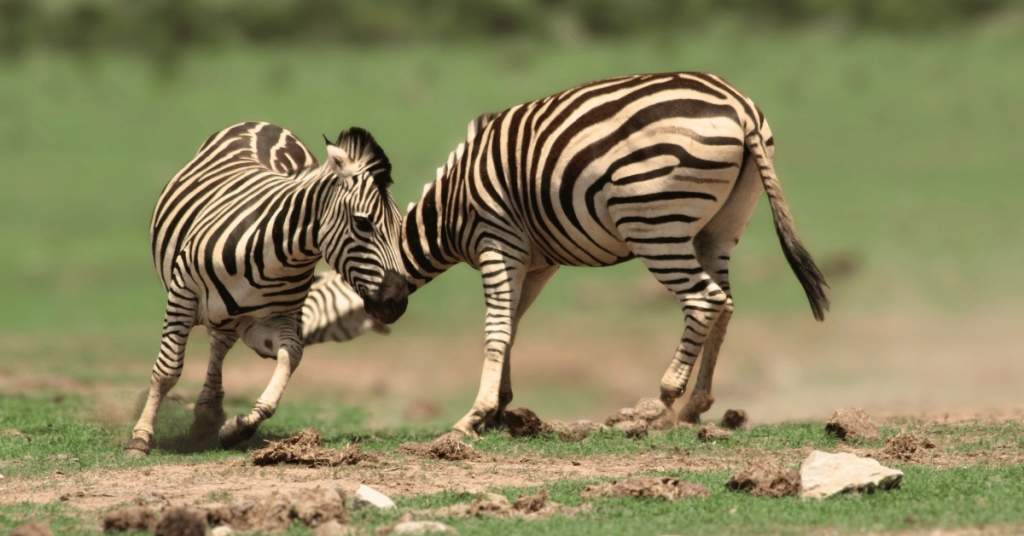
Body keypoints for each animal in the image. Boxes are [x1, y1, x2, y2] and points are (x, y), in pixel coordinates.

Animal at [125, 121, 408, 457]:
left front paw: (240, 426)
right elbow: (167, 371)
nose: (397, 302)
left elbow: (292, 354)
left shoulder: (269, 319)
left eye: (401, 225)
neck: (281, 254)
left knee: (218, 347)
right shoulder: (183, 292)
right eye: (363, 223)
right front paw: (140, 439)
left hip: (230, 318)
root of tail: (263, 125)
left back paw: (206, 417)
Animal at [402, 73, 829, 437]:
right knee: (725, 303)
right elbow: (513, 325)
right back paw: (695, 406)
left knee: (704, 299)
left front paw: (473, 417)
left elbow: (497, 328)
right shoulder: (537, 263)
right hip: (722, 228)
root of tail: (739, 106)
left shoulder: (497, 239)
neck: (450, 208)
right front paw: (500, 410)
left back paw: (663, 404)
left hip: (654, 224)